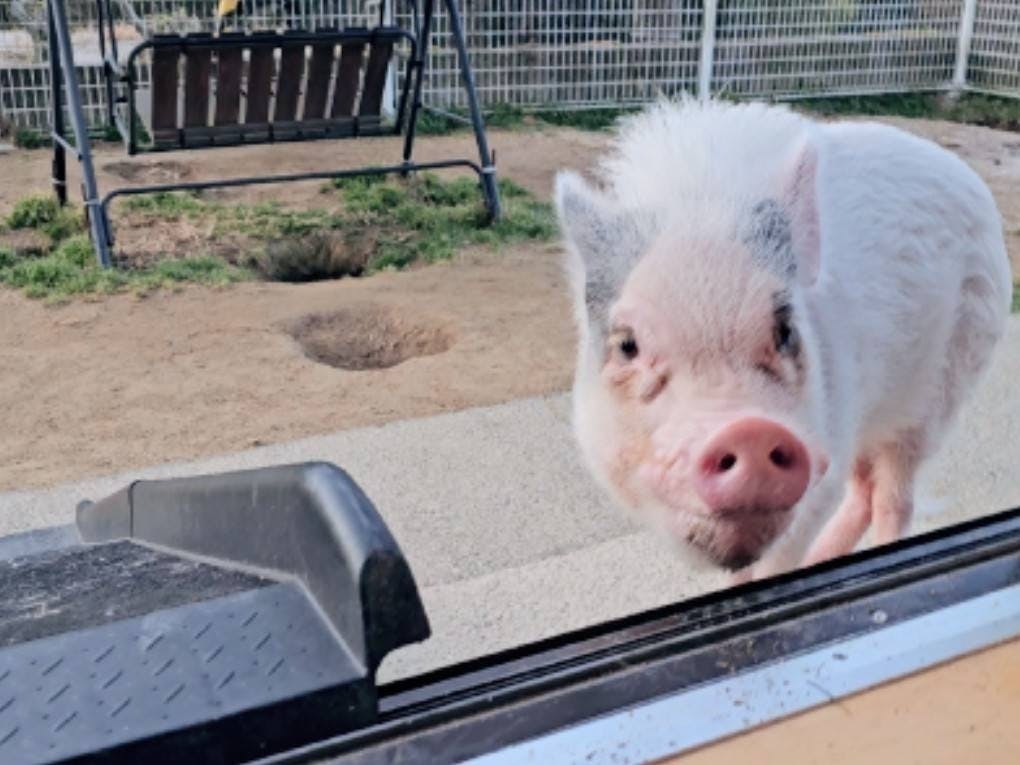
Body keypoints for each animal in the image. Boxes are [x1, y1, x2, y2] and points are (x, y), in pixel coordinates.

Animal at [555, 97, 1012, 580]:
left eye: (784, 330)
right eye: (628, 344)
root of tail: (969, 177)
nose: (748, 430)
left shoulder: (824, 447)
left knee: (893, 498)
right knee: (863, 492)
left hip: (945, 384)